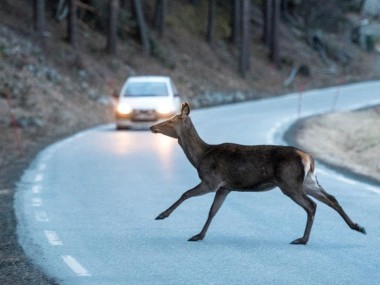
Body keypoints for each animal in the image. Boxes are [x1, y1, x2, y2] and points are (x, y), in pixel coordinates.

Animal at [150, 102, 366, 244]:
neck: (201, 157)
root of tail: (308, 158)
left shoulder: (211, 181)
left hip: (289, 181)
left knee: (311, 205)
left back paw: (303, 239)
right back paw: (357, 226)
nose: (152, 126)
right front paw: (199, 235)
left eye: (170, 121)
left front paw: (162, 215)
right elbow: (213, 211)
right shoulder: (225, 187)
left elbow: (185, 193)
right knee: (331, 198)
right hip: (308, 181)